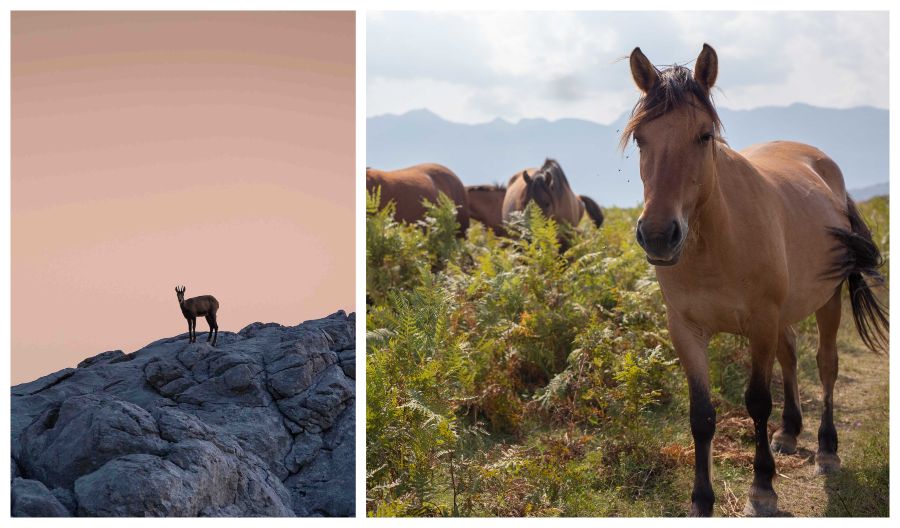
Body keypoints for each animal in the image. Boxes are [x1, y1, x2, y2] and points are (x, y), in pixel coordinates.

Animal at [624, 44, 888, 516]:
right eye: (641, 139)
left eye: (704, 136)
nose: (657, 235)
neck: (716, 243)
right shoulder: (686, 330)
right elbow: (701, 415)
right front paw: (701, 499)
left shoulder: (761, 323)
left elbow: (758, 402)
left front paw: (762, 488)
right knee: (791, 354)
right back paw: (789, 432)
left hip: (827, 301)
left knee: (825, 365)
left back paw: (826, 449)